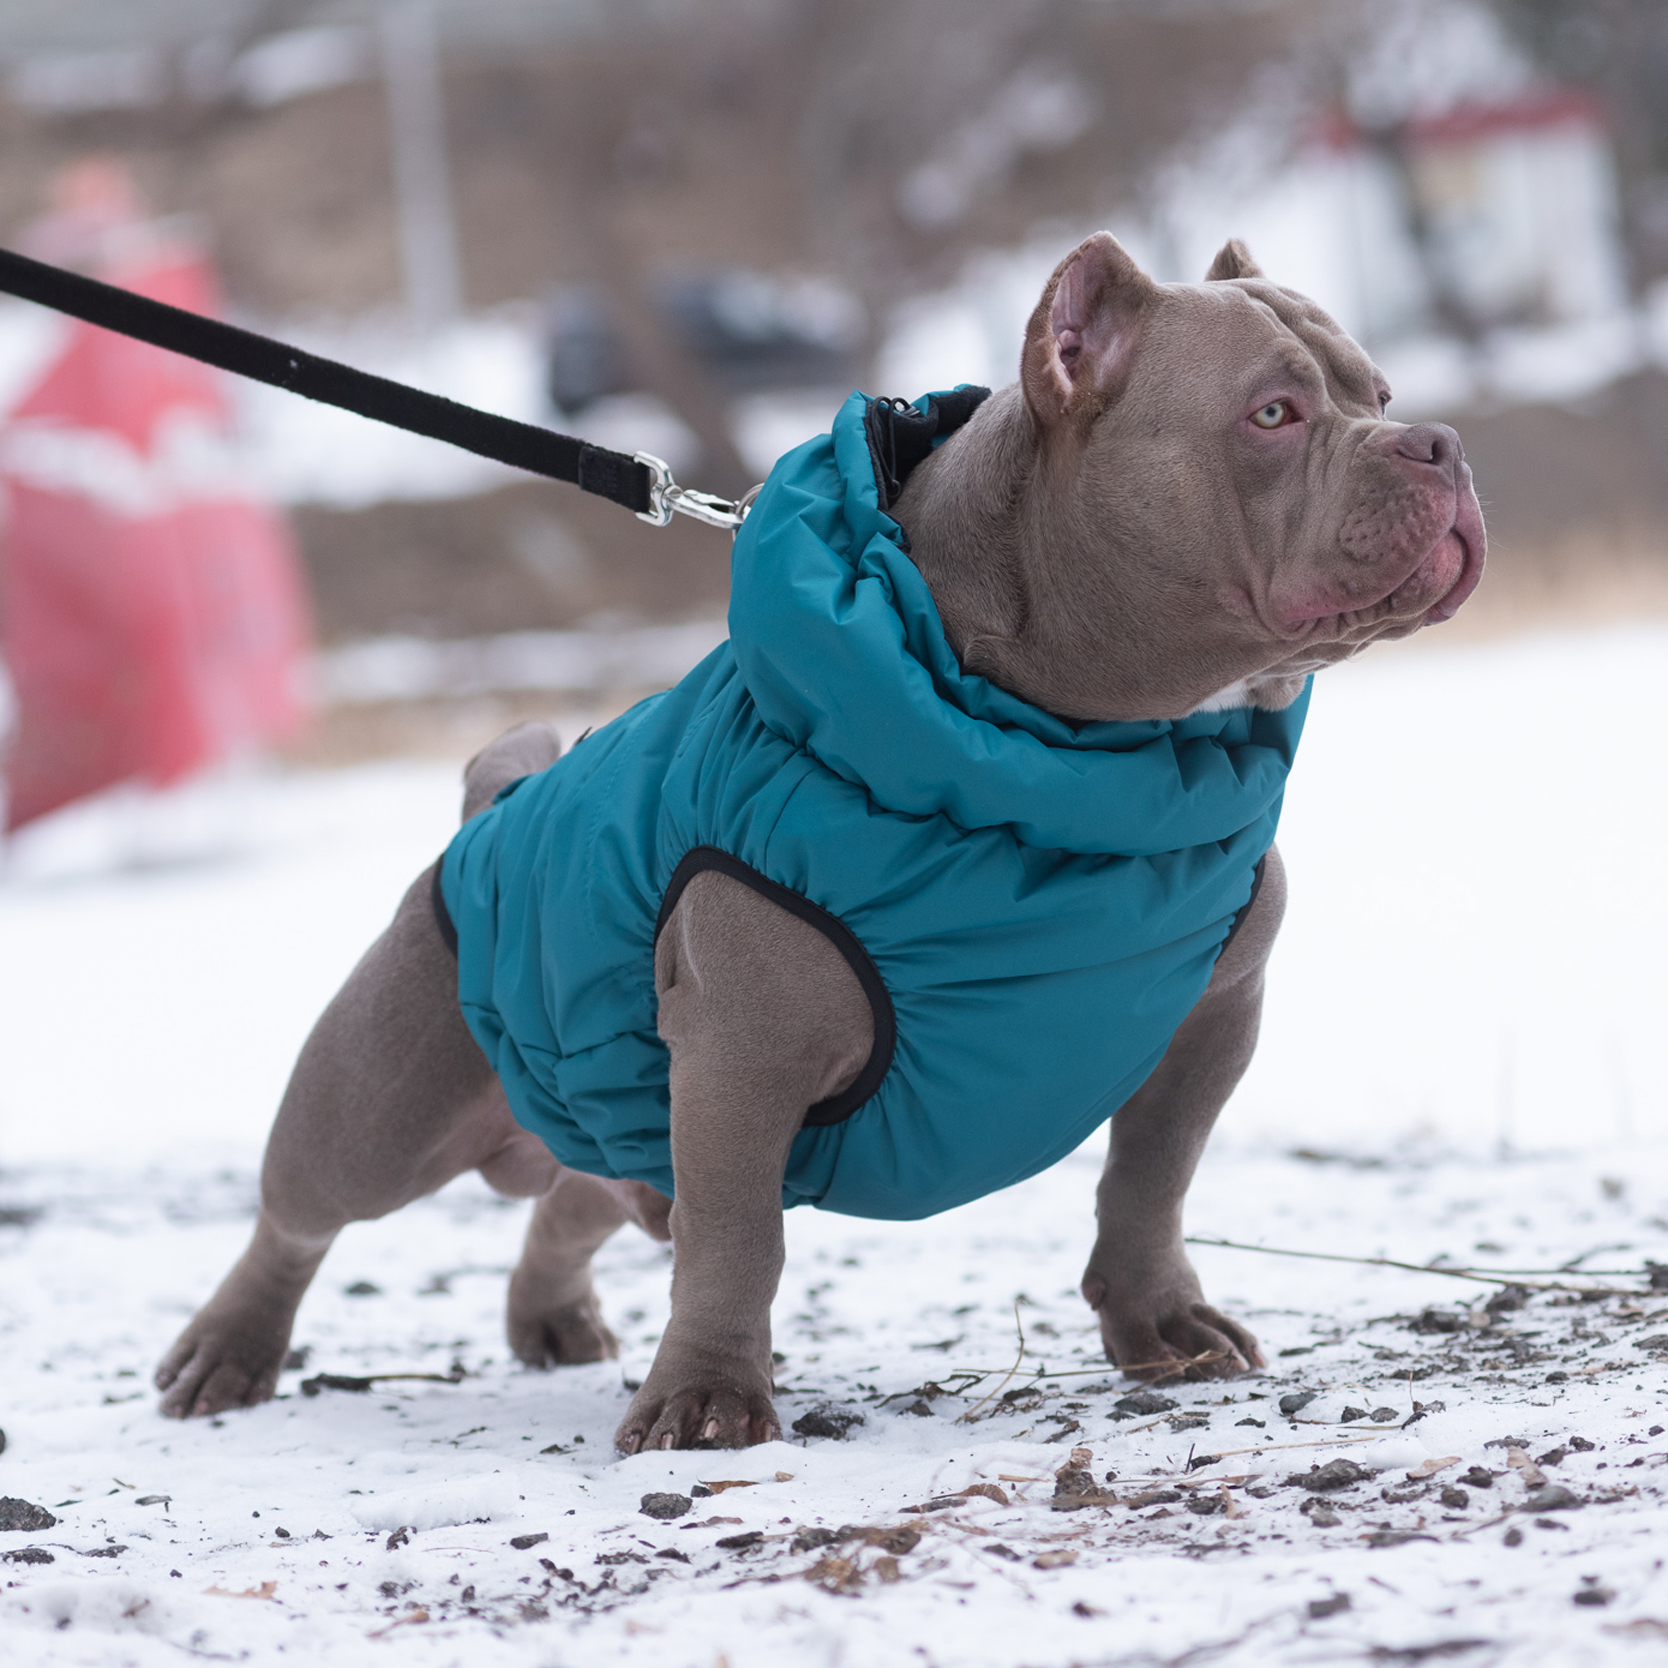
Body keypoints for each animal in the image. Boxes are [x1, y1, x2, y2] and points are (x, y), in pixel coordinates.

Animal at [153, 235, 1487, 1447]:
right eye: (1273, 413)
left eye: (1376, 394)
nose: (1440, 441)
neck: (1078, 773)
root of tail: (487, 810)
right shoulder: (743, 1063)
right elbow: (741, 1239)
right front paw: (706, 1401)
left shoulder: (1208, 1020)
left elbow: (1151, 1183)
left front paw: (1160, 1326)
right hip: (387, 1097)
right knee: (301, 1213)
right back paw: (229, 1351)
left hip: (613, 1120)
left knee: (572, 1205)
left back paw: (549, 1318)